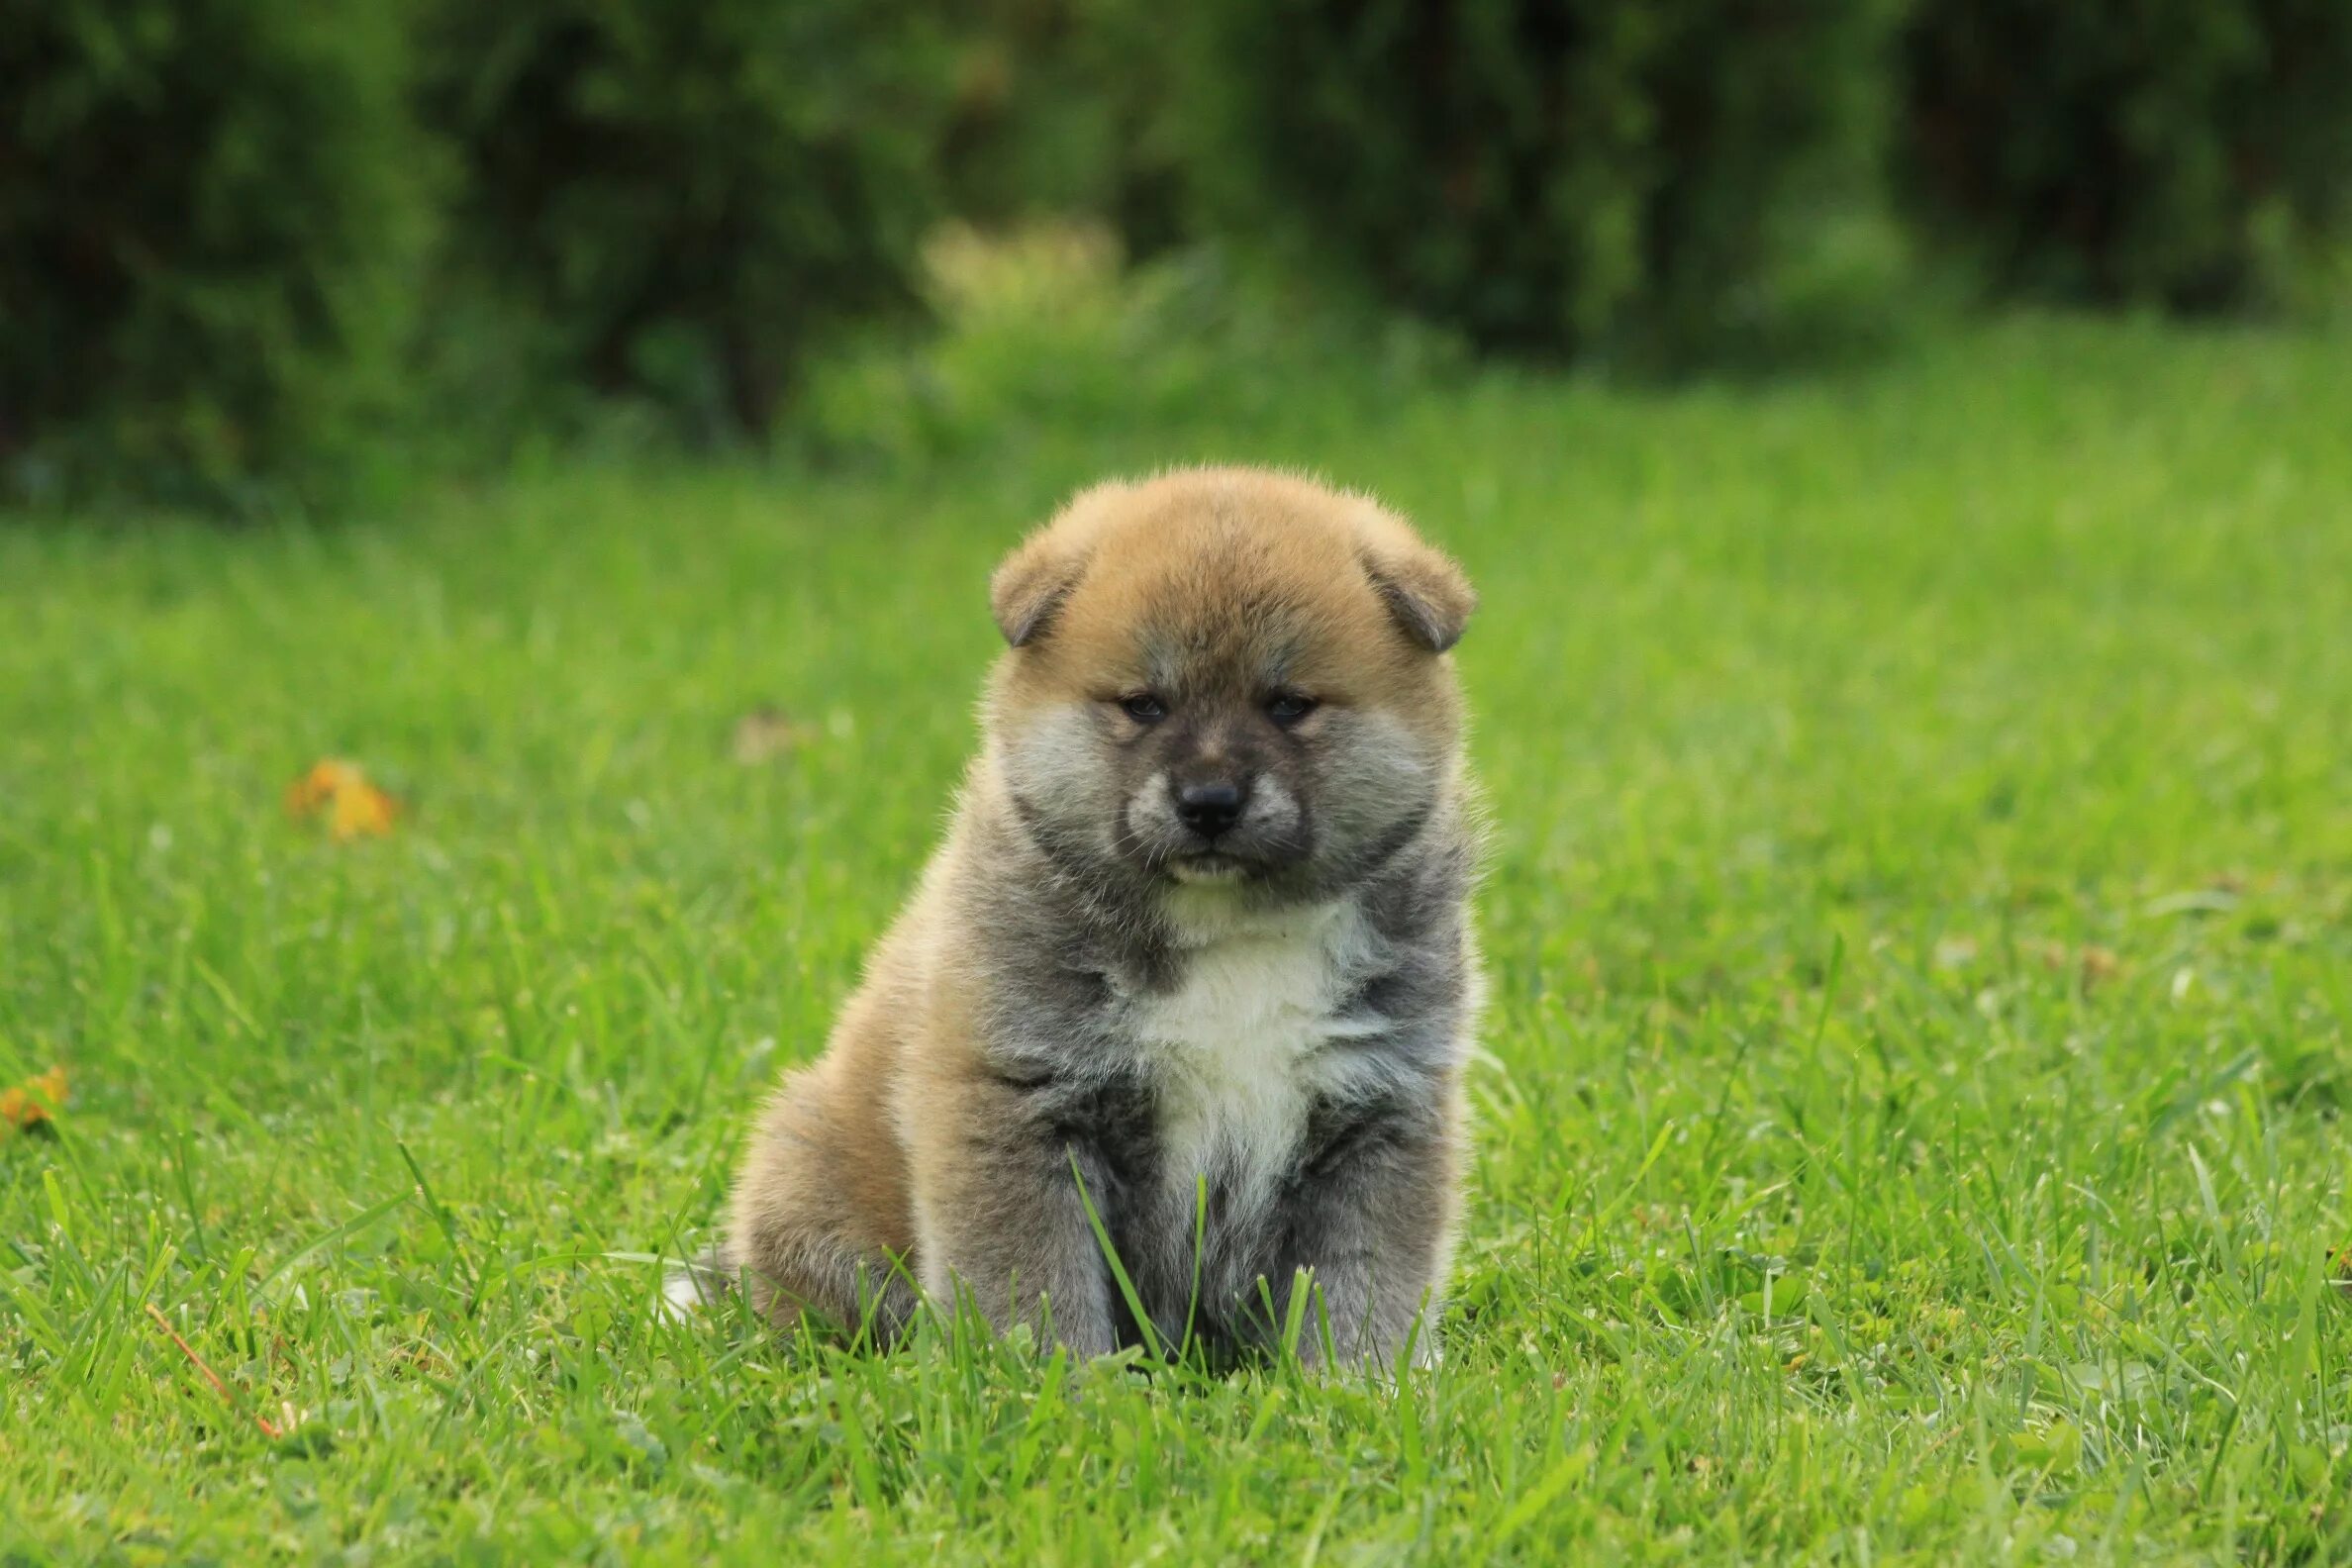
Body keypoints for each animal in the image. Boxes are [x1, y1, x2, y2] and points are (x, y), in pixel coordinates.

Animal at [715, 469, 1486, 1372]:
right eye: (1144, 705)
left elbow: (1364, 1283)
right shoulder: (1018, 1101)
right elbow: (1034, 1281)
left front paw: (1361, 1386)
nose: (1210, 802)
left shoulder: (1380, 1107)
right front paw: (1051, 1384)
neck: (1229, 935)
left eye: (1289, 705)